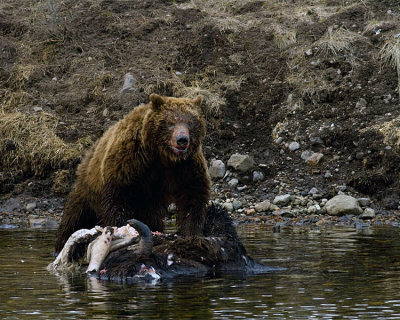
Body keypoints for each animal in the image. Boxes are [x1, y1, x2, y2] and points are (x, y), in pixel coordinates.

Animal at [54, 94, 211, 254]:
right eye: (170, 122)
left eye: (190, 122)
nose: (182, 140)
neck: (162, 155)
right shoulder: (131, 161)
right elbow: (118, 198)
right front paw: (123, 227)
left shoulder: (185, 167)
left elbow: (192, 196)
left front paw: (193, 233)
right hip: (87, 187)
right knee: (74, 217)